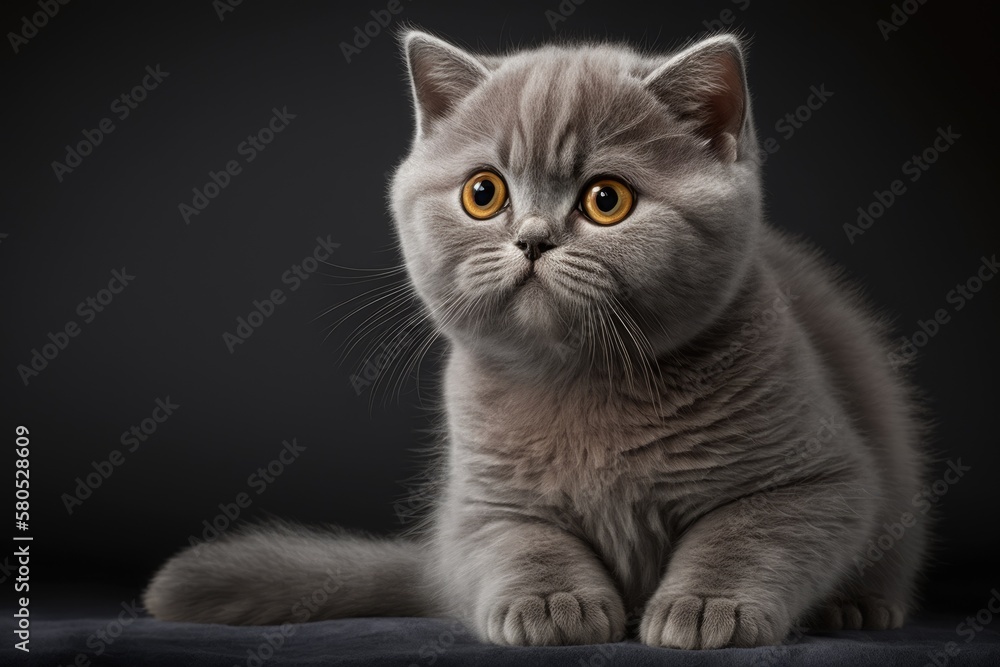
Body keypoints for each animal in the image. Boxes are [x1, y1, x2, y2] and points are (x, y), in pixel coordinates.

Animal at [145, 30, 924, 648]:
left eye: (607, 200)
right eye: (483, 192)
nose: (531, 239)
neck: (586, 385)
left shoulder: (820, 479)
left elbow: (746, 532)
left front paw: (706, 606)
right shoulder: (481, 501)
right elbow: (525, 540)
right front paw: (555, 602)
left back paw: (858, 607)